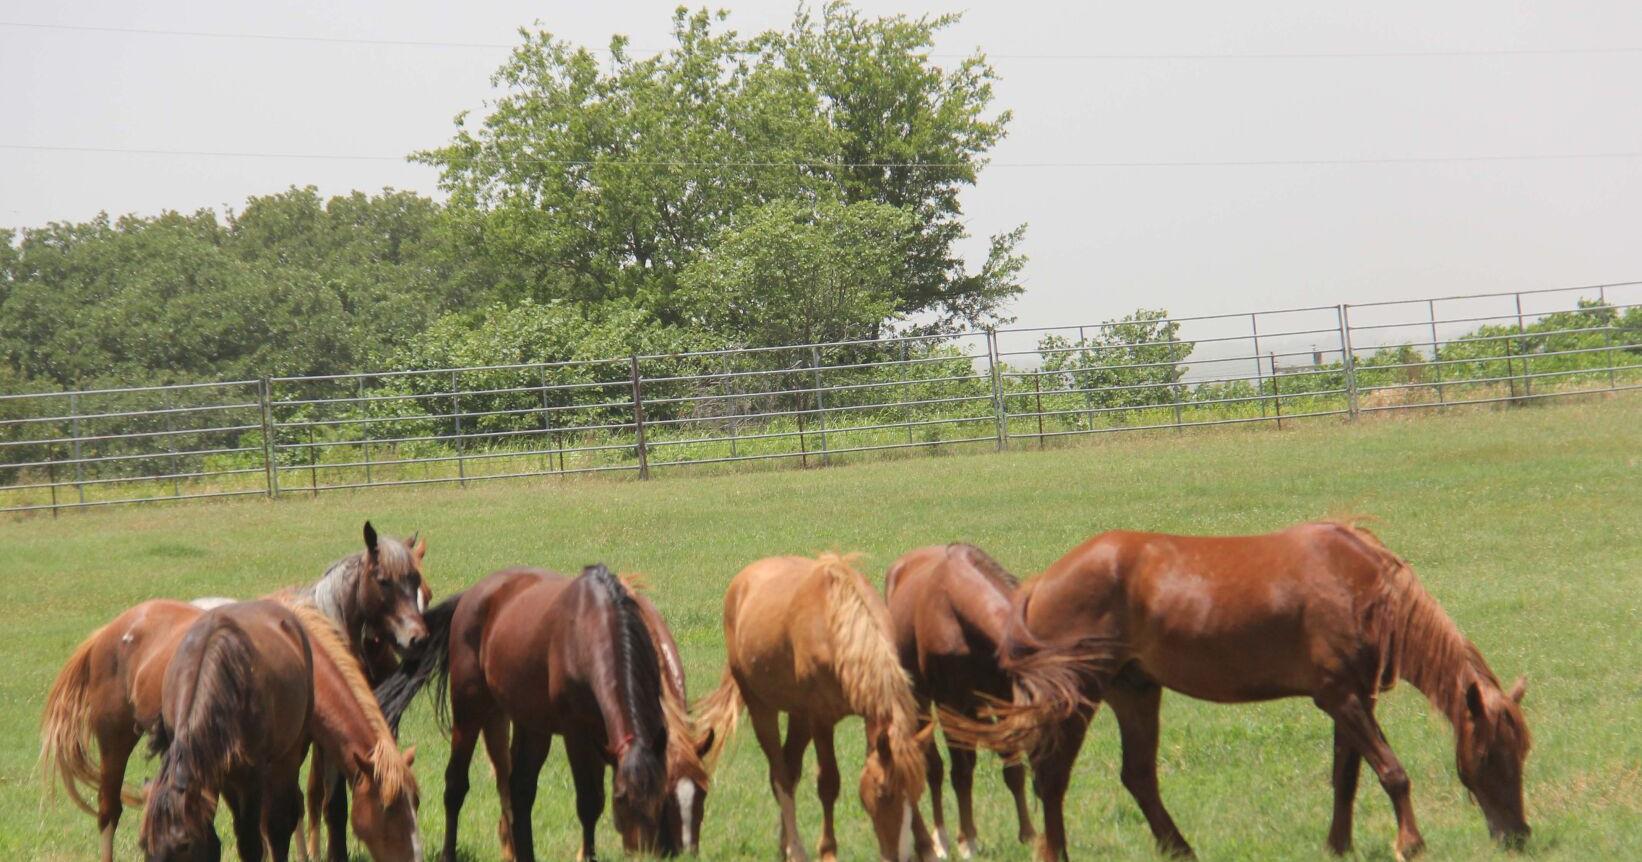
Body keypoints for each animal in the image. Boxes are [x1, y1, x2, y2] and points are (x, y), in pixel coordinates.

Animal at [139, 600, 314, 862]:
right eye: (144, 845)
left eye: (184, 845)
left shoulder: (250, 778)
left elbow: (252, 844)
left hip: (289, 757)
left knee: (279, 826)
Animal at [375, 564, 671, 862]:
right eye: (620, 798)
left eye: (660, 795)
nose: (644, 850)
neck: (594, 630)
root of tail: (471, 595)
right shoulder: (578, 735)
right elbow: (589, 802)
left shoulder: (601, 737)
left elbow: (593, 799)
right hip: (469, 711)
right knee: (456, 785)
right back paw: (449, 852)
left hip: (531, 725)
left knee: (519, 789)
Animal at [692, 554, 936, 862]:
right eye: (883, 793)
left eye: (918, 790)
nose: (899, 856)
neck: (838, 627)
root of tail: (741, 581)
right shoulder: (821, 720)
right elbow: (828, 784)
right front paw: (828, 851)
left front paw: (927, 845)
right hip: (763, 709)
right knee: (781, 776)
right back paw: (795, 848)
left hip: (798, 716)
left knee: (789, 768)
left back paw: (784, 846)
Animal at [886, 544, 1069, 857]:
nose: (1052, 789)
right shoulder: (950, 705)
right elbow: (961, 772)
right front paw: (967, 840)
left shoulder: (1003, 697)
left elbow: (1012, 766)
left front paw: (1028, 834)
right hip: (921, 701)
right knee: (933, 767)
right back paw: (940, 839)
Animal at [946, 521, 1532, 862]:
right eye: (1489, 756)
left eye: (1521, 755)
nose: (1518, 836)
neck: (1358, 584)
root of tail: (1039, 584)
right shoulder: (1340, 699)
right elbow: (1392, 773)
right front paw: (1410, 843)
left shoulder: (1351, 700)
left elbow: (1346, 779)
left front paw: (1338, 846)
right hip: (1080, 696)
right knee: (1052, 777)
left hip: (1135, 692)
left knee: (1137, 777)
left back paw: (1180, 848)